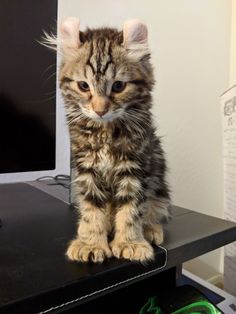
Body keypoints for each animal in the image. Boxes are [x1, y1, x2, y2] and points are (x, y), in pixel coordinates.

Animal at [44, 17, 171, 262]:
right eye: (84, 86)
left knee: (154, 208)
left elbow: (132, 209)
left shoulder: (135, 167)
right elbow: (92, 210)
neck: (105, 131)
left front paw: (130, 242)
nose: (100, 110)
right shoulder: (87, 168)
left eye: (118, 86)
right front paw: (91, 243)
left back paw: (150, 229)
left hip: (159, 179)